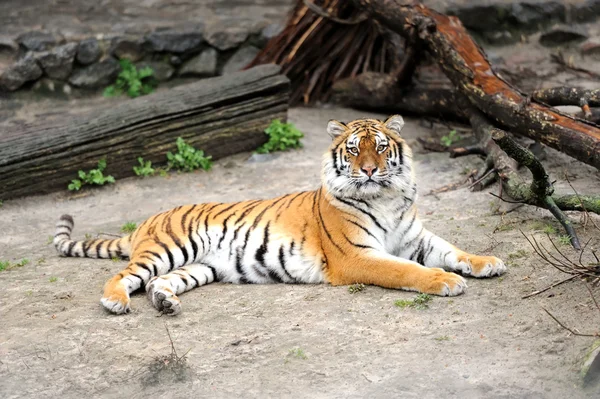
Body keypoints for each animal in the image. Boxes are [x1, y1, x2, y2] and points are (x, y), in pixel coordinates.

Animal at [52, 115, 506, 316]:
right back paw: (115, 302)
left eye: (380, 147)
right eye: (354, 149)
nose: (368, 170)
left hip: (199, 267)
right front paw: (445, 281)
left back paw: (165, 302)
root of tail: (146, 222)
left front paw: (487, 262)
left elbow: (454, 250)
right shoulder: (357, 256)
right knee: (123, 276)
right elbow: (405, 270)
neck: (386, 197)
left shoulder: (416, 238)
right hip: (168, 248)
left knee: (157, 283)